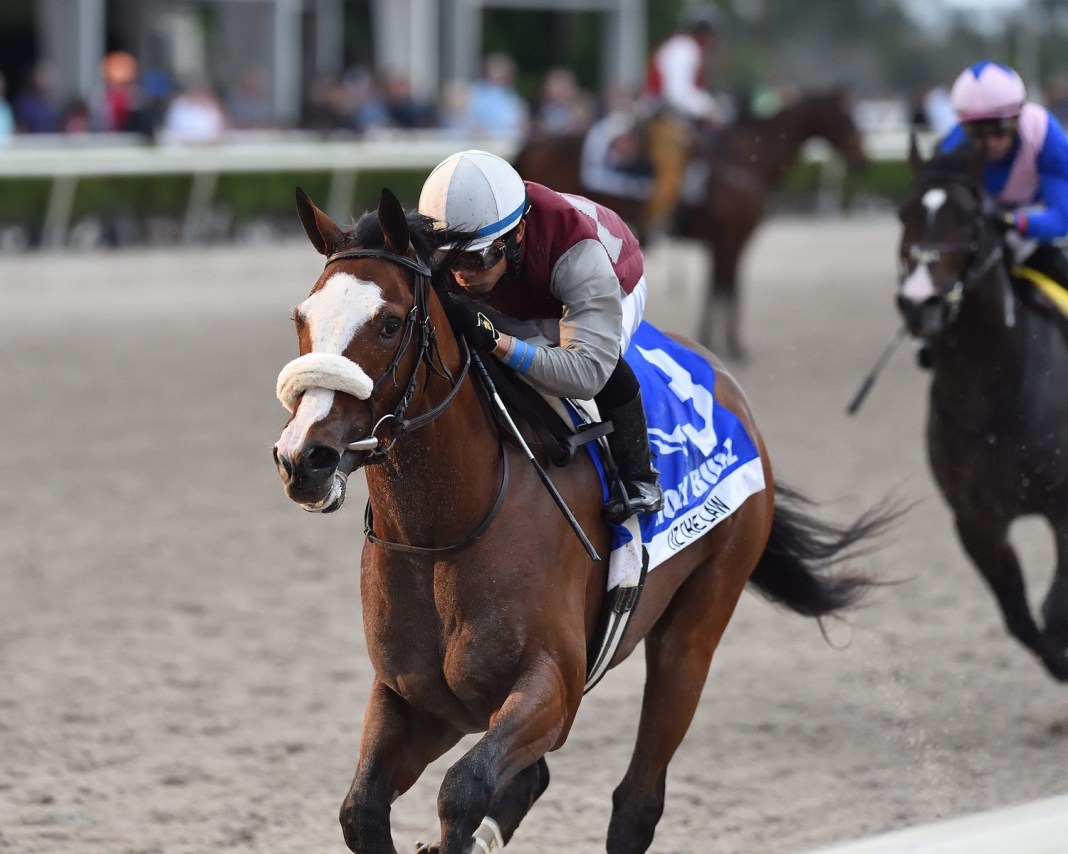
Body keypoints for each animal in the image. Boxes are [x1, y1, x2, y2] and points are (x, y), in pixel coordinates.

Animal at [272, 185, 891, 853]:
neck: (443, 532)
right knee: (532, 779)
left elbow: (462, 788)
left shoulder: (552, 688)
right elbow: (361, 810)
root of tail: (726, 382)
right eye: (301, 319)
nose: (302, 458)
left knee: (637, 798)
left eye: (389, 323)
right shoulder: (415, 701)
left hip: (695, 628)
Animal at [513, 89, 869, 360]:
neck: (742, 161)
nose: (862, 160)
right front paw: (730, 344)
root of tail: (538, 142)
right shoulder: (733, 237)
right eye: (845, 118)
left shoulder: (724, 240)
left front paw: (712, 338)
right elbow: (726, 286)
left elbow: (720, 285)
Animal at [896, 140, 1068, 681]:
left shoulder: (1063, 507)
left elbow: (1055, 610)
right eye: (903, 213)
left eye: (968, 218)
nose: (919, 302)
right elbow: (1019, 617)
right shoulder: (977, 521)